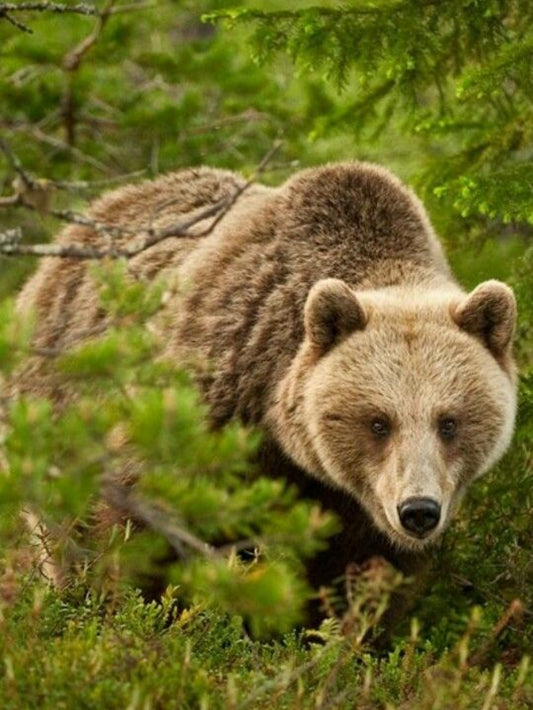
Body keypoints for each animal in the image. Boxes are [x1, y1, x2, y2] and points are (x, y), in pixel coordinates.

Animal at [13, 162, 518, 601]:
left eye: (449, 421)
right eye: (378, 421)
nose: (418, 511)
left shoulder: (357, 506)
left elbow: (361, 572)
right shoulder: (216, 390)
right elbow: (147, 514)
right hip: (59, 401)